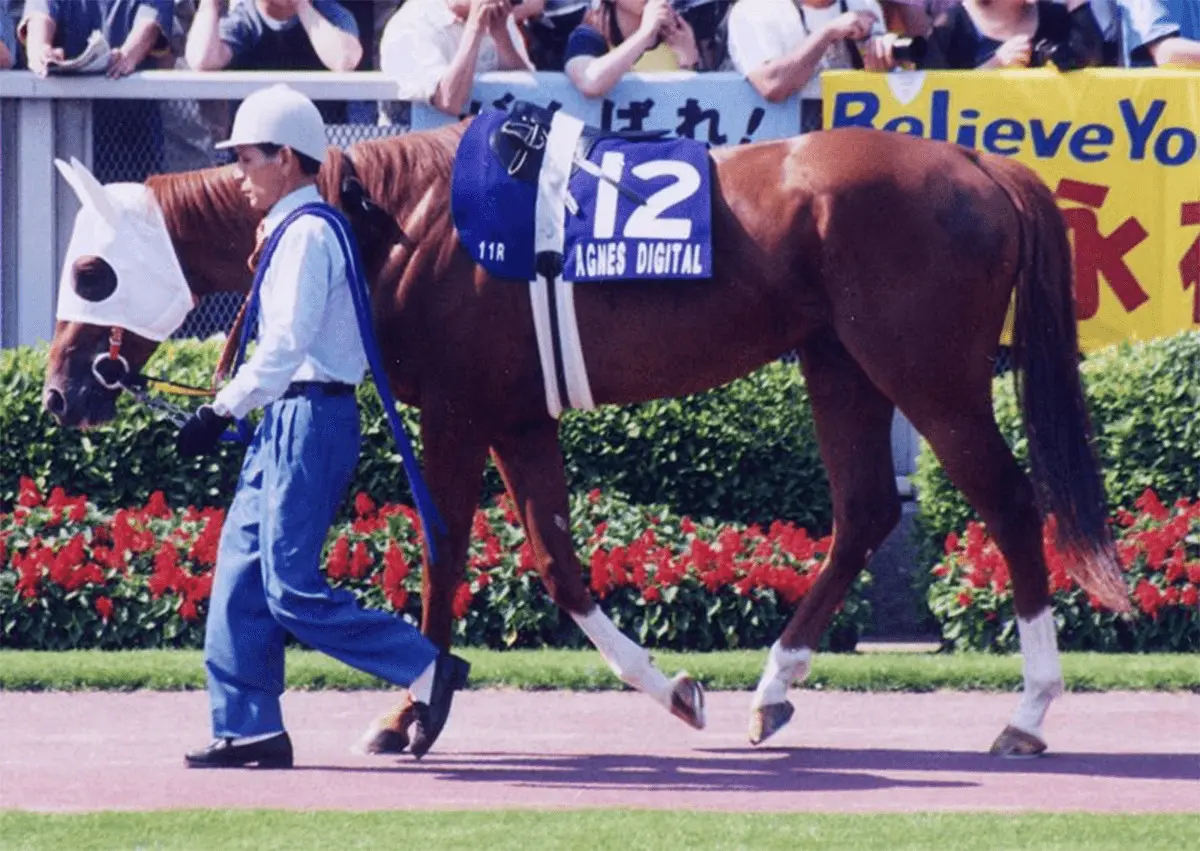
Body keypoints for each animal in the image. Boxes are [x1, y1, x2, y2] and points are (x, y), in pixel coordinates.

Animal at [40, 110, 1131, 760]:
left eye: (91, 269)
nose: (59, 391)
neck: (395, 219)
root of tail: (981, 164)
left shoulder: (459, 410)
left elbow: (446, 549)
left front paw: (411, 710)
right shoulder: (519, 413)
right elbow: (558, 561)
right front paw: (675, 689)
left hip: (926, 371)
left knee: (1010, 502)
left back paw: (1026, 712)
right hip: (839, 362)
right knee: (865, 509)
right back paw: (771, 687)